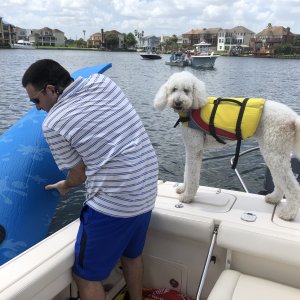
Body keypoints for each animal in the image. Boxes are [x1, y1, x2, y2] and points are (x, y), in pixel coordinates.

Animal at [154, 70, 300, 220]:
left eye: (186, 90)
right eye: (173, 90)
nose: (177, 102)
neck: (192, 109)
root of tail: (293, 117)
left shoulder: (195, 148)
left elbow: (192, 174)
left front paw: (187, 197)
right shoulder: (190, 149)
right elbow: (187, 171)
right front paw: (183, 189)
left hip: (275, 150)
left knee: (292, 187)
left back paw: (288, 214)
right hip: (272, 151)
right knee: (279, 179)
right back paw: (274, 199)